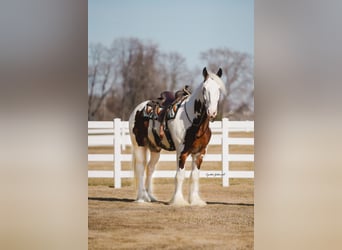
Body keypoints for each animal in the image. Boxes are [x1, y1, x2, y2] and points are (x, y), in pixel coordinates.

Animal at [128, 67, 227, 206]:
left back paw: (150, 196)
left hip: (155, 149)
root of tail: (138, 109)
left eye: (218, 89)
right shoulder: (182, 152)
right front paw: (178, 200)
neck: (194, 123)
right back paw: (142, 198)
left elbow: (194, 176)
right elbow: (180, 175)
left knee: (150, 168)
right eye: (204, 89)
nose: (212, 112)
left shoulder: (200, 153)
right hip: (139, 146)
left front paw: (195, 200)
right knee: (141, 168)